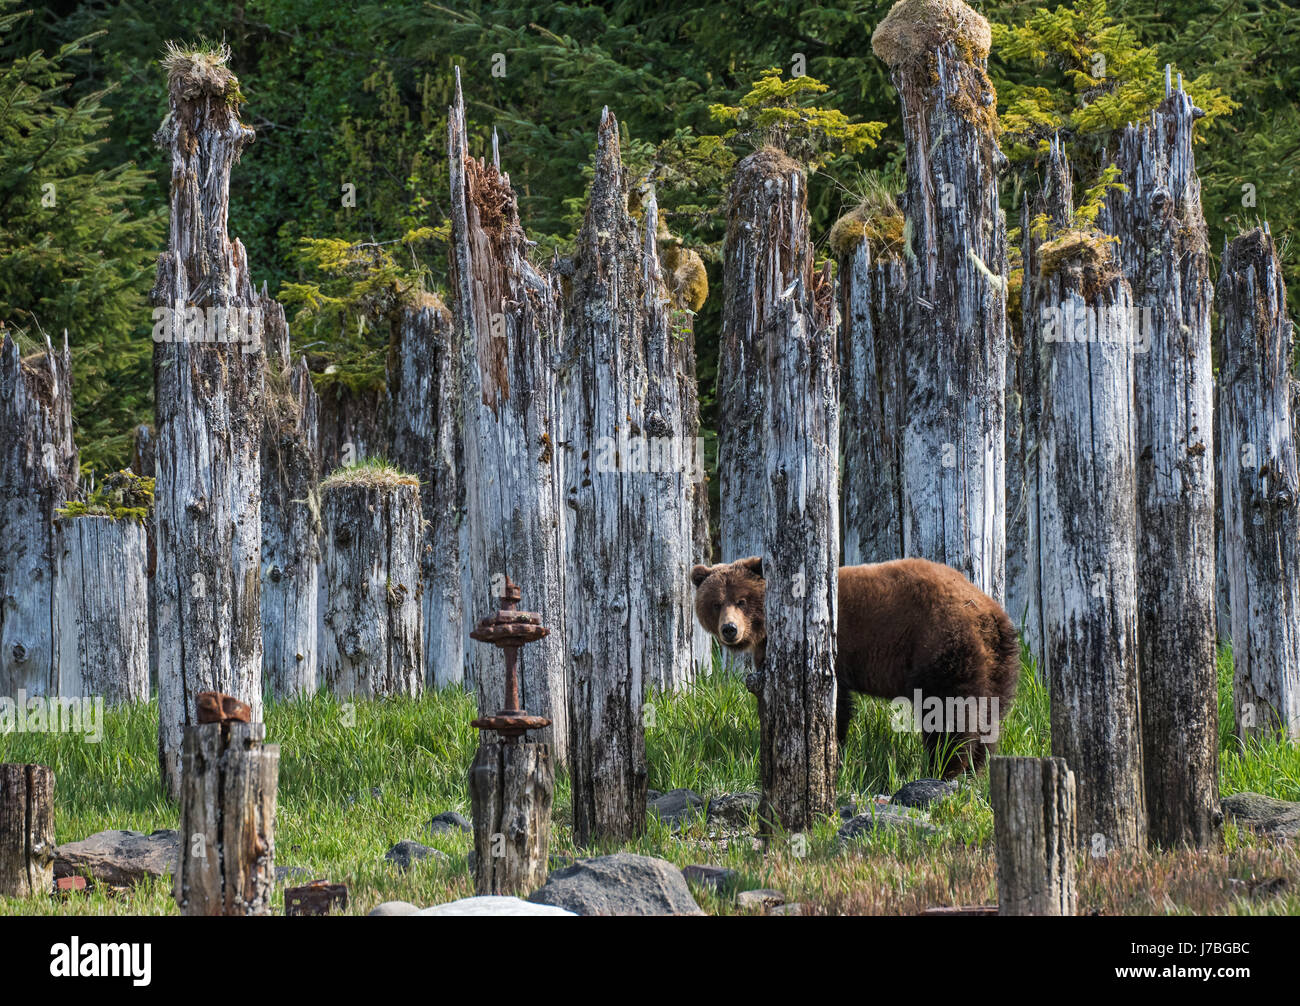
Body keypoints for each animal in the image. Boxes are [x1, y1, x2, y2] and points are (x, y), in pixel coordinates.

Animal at [696, 558, 1019, 779]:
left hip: (941, 645)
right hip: (998, 662)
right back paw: (977, 764)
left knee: (948, 711)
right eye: (716, 603)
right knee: (990, 713)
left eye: (742, 600)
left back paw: (946, 766)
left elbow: (834, 704)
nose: (729, 629)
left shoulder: (832, 651)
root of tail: (986, 611)